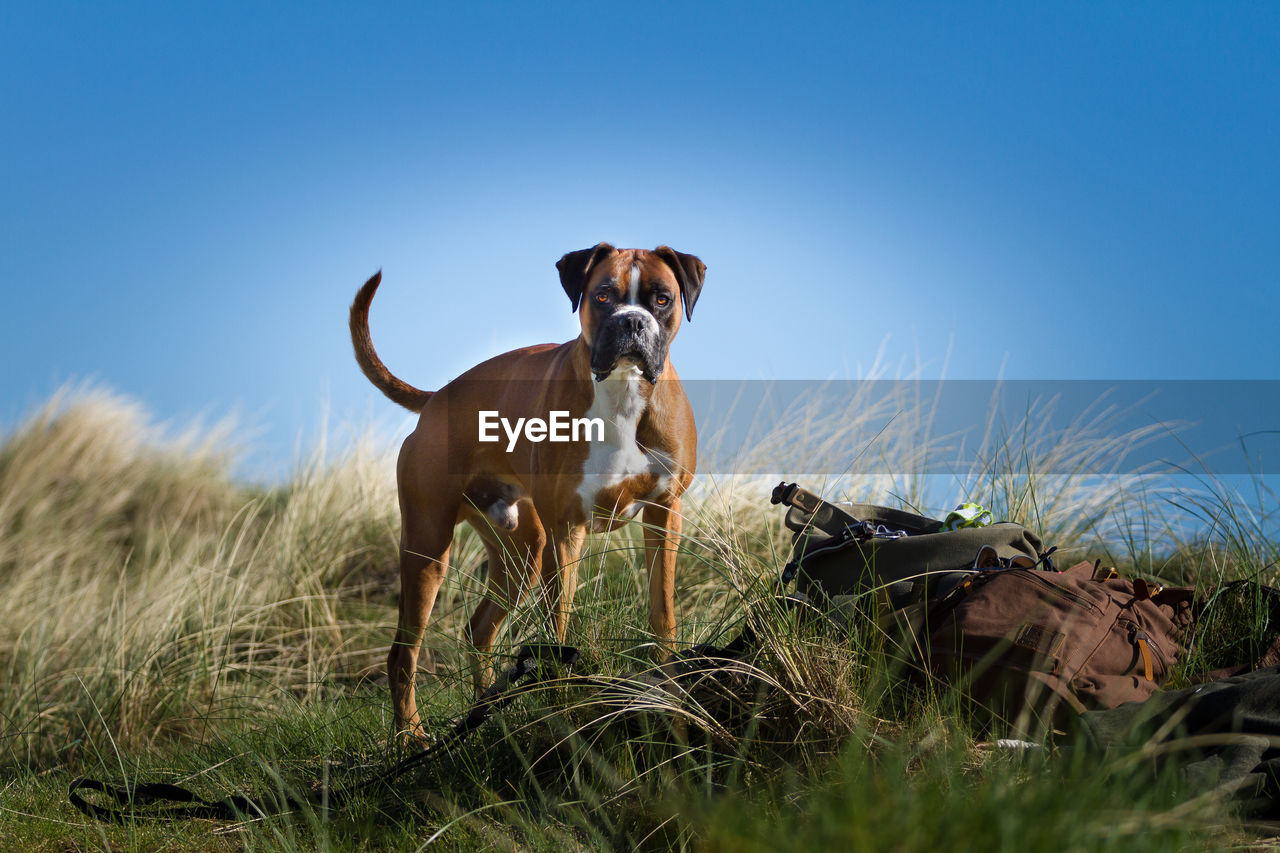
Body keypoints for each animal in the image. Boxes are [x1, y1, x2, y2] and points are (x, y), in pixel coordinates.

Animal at [348, 242, 701, 732]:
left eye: (662, 299)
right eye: (603, 296)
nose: (632, 321)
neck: (623, 393)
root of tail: (437, 397)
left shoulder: (664, 514)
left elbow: (662, 610)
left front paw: (669, 686)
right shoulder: (566, 531)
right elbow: (557, 628)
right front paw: (559, 704)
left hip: (521, 552)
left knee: (478, 630)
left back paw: (482, 715)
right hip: (428, 549)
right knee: (403, 656)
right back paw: (411, 737)